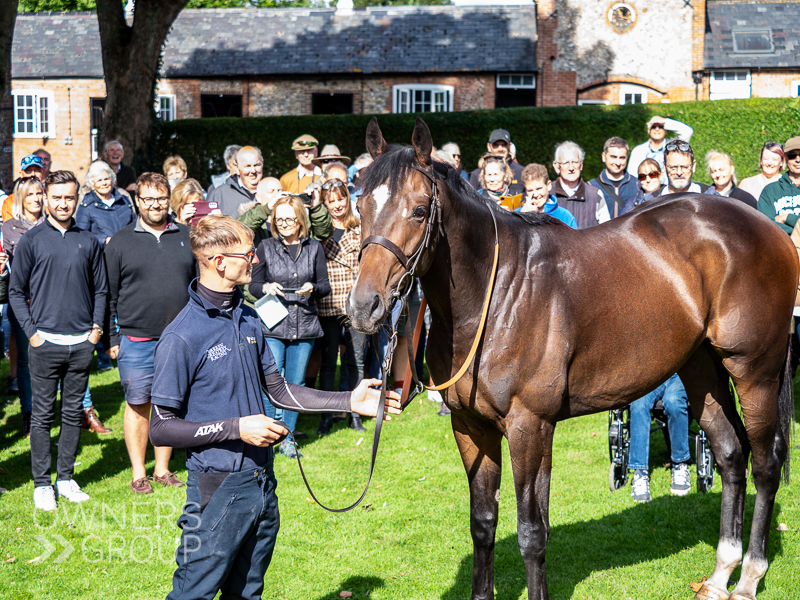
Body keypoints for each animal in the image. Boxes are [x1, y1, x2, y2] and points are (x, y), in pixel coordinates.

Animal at [350, 117, 800, 600]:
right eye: (360, 207)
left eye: (418, 211)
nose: (363, 306)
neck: (497, 294)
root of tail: (770, 230)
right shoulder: (471, 428)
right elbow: (483, 523)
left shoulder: (529, 427)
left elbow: (532, 532)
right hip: (701, 367)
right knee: (731, 454)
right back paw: (720, 574)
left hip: (755, 371)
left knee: (765, 463)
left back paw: (749, 576)